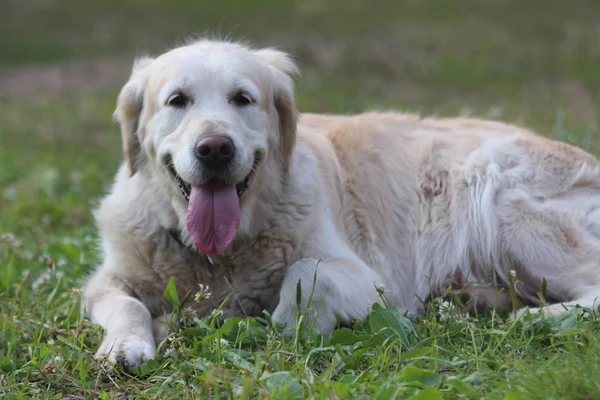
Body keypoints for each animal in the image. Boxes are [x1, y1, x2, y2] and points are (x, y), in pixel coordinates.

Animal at [82, 39, 600, 368]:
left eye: (243, 98)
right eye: (177, 100)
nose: (215, 148)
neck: (221, 257)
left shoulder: (374, 281)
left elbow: (305, 275)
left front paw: (290, 325)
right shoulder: (107, 280)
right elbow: (123, 303)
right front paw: (126, 345)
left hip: (498, 194)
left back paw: (533, 317)